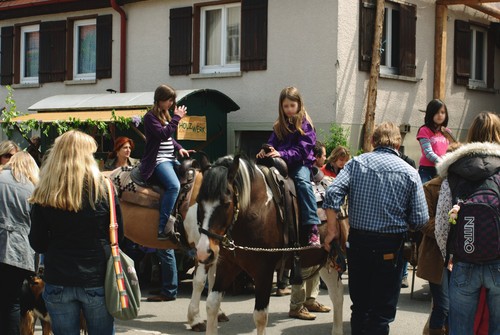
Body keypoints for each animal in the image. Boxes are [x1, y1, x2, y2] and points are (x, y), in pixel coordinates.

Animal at [197, 156, 346, 335]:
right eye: (198, 201)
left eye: (226, 203)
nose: (204, 252)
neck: (258, 208)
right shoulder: (227, 265)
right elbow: (211, 304)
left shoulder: (264, 271)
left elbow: (260, 317)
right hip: (325, 260)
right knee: (337, 294)